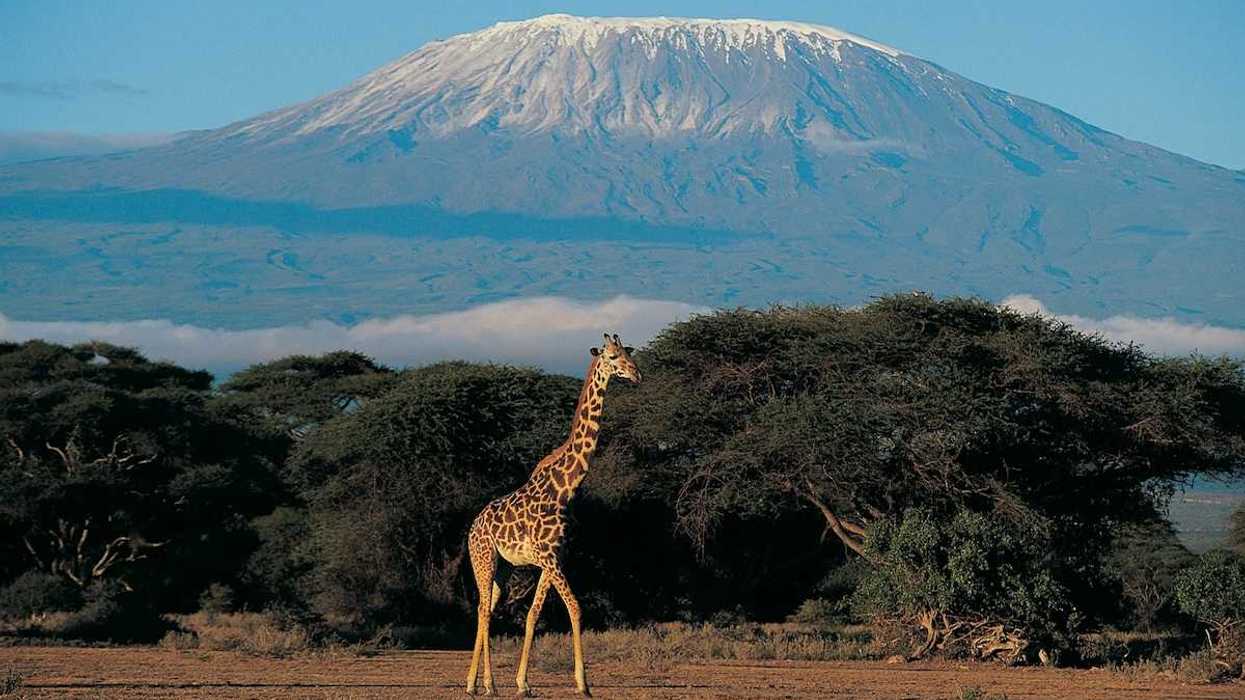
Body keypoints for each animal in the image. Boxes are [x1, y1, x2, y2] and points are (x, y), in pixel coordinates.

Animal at [465, 332, 640, 697]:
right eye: (612, 356)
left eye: (629, 353)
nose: (636, 374)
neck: (566, 487)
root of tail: (472, 528)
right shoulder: (549, 558)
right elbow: (576, 607)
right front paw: (583, 684)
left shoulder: (555, 558)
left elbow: (533, 614)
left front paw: (523, 682)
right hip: (483, 559)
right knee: (484, 610)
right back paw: (487, 684)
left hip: (503, 568)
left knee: (485, 608)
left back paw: (473, 682)